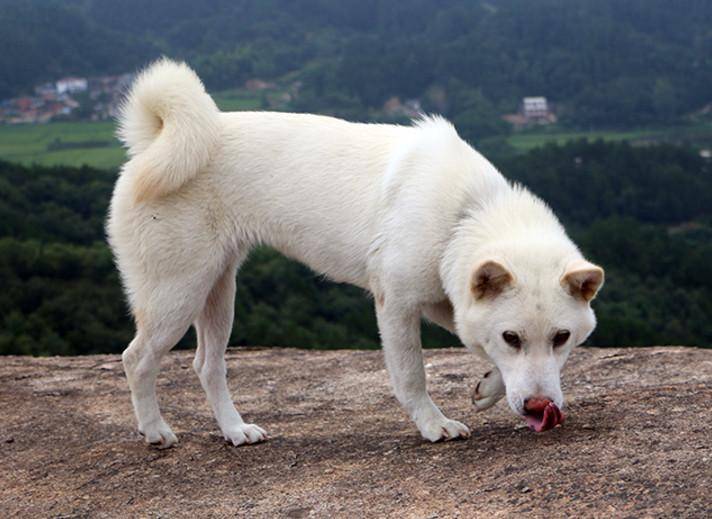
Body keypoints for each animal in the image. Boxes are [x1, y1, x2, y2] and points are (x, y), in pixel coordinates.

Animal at [108, 59, 604, 448]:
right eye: (512, 337)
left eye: (562, 338)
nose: (540, 407)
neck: (465, 213)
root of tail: (153, 144)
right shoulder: (397, 304)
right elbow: (412, 374)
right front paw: (434, 424)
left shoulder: (445, 299)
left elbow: (480, 346)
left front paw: (487, 388)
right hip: (177, 293)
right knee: (137, 359)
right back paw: (155, 431)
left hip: (218, 291)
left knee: (206, 366)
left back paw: (234, 430)